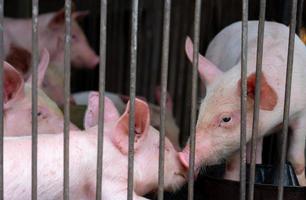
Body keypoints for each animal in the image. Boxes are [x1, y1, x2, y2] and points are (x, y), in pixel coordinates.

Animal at [178, 20, 306, 186]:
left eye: (226, 119)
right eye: (200, 112)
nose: (182, 156)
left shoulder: (301, 113)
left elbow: (297, 161)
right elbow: (234, 165)